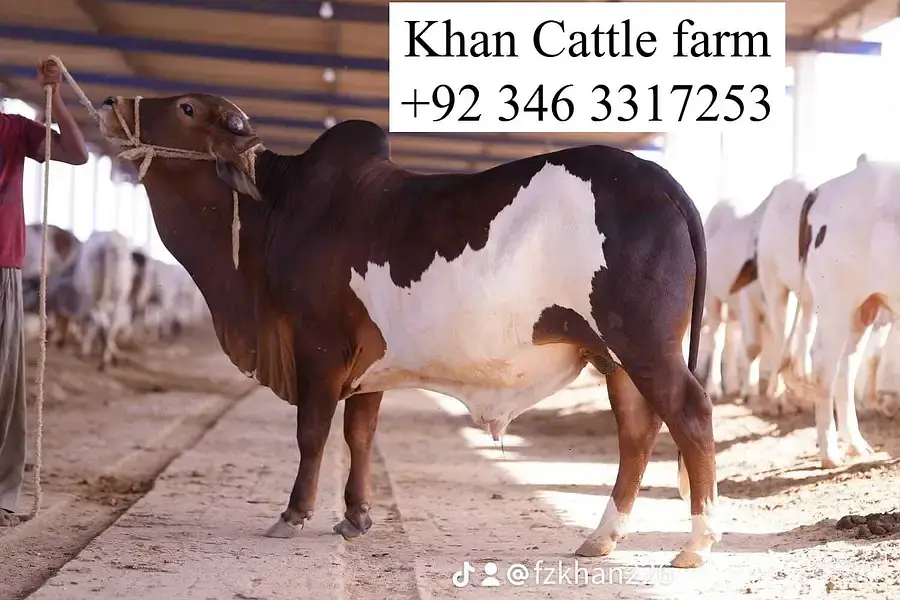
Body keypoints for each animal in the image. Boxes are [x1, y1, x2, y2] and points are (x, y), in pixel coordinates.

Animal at [98, 93, 718, 568]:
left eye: (185, 107)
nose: (108, 103)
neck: (277, 208)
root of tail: (660, 179)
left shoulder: (318, 347)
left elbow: (312, 433)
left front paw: (293, 514)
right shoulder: (367, 365)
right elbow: (360, 435)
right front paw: (356, 517)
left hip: (644, 345)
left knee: (690, 414)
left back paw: (696, 544)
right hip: (616, 356)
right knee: (637, 432)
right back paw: (601, 538)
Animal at [794, 159, 900, 468]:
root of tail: (822, 189)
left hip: (863, 308)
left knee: (847, 367)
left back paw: (857, 445)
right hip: (834, 303)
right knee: (823, 366)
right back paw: (830, 454)